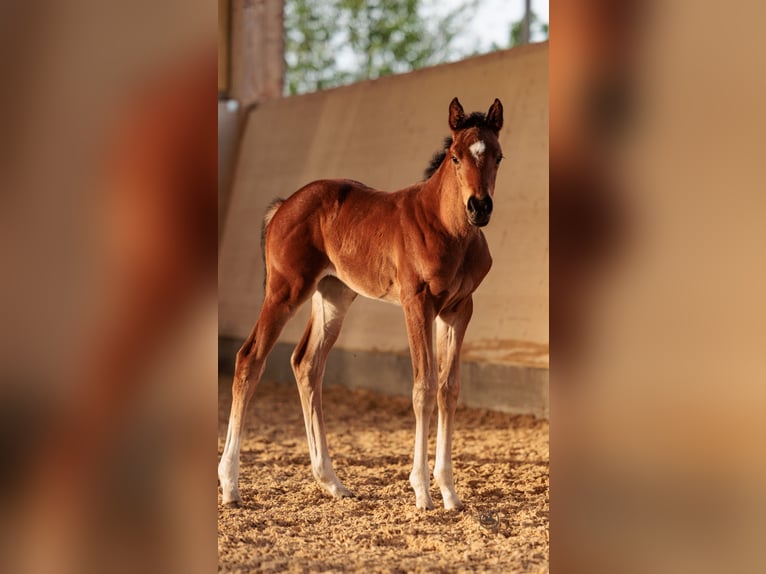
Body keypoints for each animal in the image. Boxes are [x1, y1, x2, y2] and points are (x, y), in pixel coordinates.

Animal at [219, 97, 504, 510]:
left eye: (498, 155)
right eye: (455, 156)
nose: (479, 207)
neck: (448, 228)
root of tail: (284, 205)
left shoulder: (458, 309)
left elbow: (448, 390)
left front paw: (450, 492)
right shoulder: (416, 304)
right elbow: (423, 387)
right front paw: (422, 490)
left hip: (332, 295)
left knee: (306, 364)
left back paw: (332, 482)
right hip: (285, 290)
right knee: (249, 359)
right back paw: (230, 485)